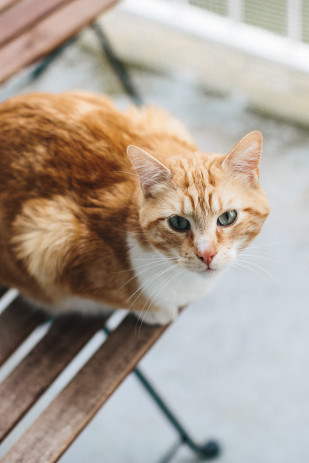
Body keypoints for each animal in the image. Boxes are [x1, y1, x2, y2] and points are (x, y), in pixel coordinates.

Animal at [0, 91, 268, 326]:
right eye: (178, 223)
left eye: (227, 217)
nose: (207, 254)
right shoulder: (46, 244)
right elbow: (118, 296)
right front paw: (153, 310)